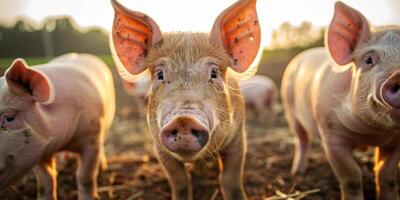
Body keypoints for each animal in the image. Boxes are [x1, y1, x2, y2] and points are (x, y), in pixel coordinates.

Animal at [0, 53, 115, 200]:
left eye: (9, 118)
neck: (62, 143)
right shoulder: (38, 152)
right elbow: (46, 182)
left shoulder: (91, 138)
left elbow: (85, 176)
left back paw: (103, 166)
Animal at [111, 0, 262, 198]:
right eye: (160, 75)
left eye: (214, 73)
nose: (183, 119)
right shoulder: (160, 148)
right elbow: (180, 182)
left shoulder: (238, 138)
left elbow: (231, 180)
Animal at [282, 1, 400, 200]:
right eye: (368, 59)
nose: (397, 74)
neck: (372, 133)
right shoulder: (331, 135)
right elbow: (351, 177)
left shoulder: (396, 142)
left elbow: (387, 176)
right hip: (290, 110)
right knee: (302, 140)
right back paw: (297, 173)